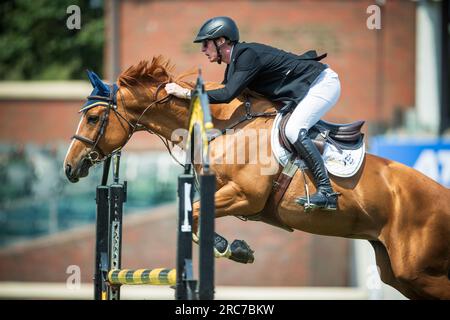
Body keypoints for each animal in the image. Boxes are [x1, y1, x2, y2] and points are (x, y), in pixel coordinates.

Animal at [64, 55, 450, 300]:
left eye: (94, 118)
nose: (69, 167)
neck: (224, 126)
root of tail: (442, 195)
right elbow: (194, 214)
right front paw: (232, 247)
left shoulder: (244, 196)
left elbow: (196, 213)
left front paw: (232, 248)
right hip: (399, 274)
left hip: (418, 271)